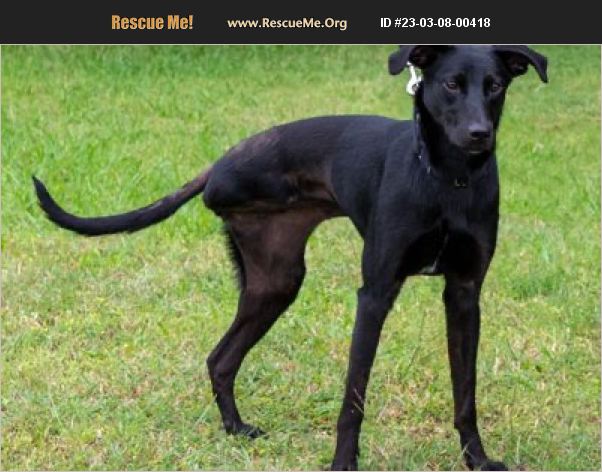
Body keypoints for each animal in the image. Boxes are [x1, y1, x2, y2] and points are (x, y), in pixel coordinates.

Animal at [33, 45, 548, 470]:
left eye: (495, 85)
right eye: (451, 84)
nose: (480, 135)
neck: (446, 180)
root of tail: (220, 165)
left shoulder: (464, 294)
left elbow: (466, 393)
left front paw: (477, 460)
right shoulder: (375, 294)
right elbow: (353, 397)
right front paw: (343, 465)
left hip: (274, 283)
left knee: (220, 359)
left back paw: (235, 429)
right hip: (277, 279)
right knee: (221, 358)